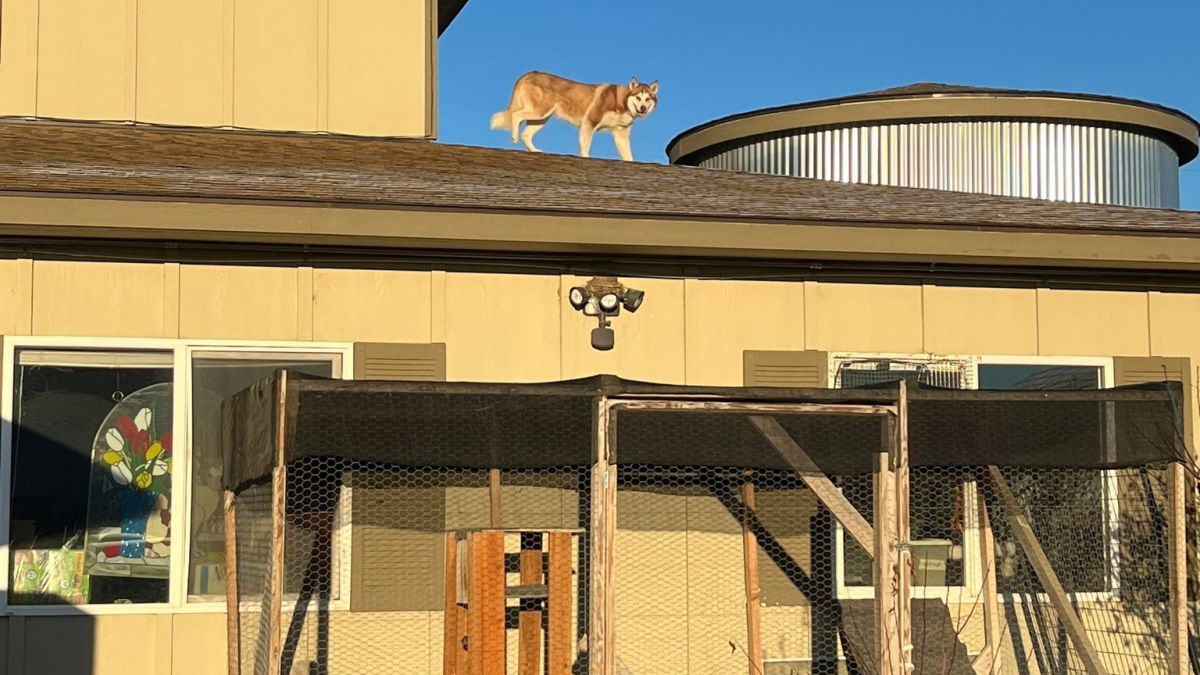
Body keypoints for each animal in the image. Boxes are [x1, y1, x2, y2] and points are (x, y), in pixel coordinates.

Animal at [487, 71, 657, 162]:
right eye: (638, 97)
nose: (642, 108)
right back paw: (514, 136)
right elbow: (585, 145)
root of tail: (530, 73)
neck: (621, 101)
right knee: (516, 115)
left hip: (542, 118)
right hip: (540, 111)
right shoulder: (589, 122)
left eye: (647, 99)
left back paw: (534, 150)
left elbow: (628, 155)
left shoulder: (621, 135)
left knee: (526, 134)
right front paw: (586, 157)